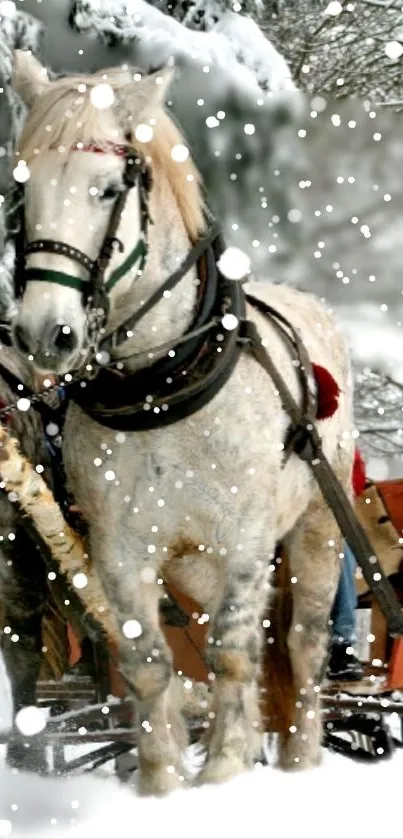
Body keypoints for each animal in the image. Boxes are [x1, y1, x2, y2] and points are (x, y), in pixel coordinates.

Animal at [11, 49, 356, 796]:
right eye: (21, 190)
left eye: (110, 188)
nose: (45, 333)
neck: (160, 384)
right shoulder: (120, 548)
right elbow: (148, 665)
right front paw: (162, 782)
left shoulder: (246, 540)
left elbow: (232, 653)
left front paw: (223, 771)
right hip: (191, 567)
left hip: (316, 526)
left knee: (301, 643)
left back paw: (300, 759)